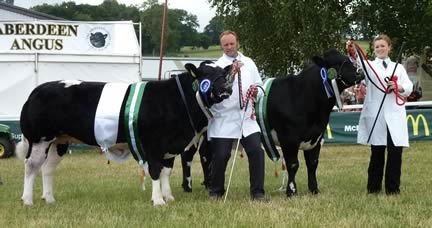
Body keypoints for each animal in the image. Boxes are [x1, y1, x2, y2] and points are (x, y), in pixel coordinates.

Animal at [16, 61, 233, 207]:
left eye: (224, 73)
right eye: (205, 74)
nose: (227, 88)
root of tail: (37, 90)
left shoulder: (169, 146)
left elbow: (166, 171)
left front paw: (168, 196)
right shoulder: (153, 144)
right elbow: (155, 171)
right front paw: (158, 200)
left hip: (59, 141)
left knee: (48, 168)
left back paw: (49, 198)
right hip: (39, 139)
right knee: (31, 166)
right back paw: (27, 200)